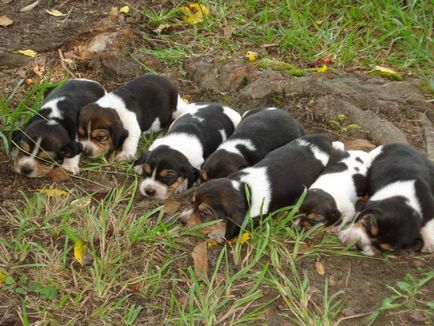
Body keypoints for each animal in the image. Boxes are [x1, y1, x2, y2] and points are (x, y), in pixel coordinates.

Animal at [179, 134, 340, 243]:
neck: (245, 190)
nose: (180, 221)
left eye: (204, 214)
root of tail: (324, 141)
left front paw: (217, 234)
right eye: (192, 202)